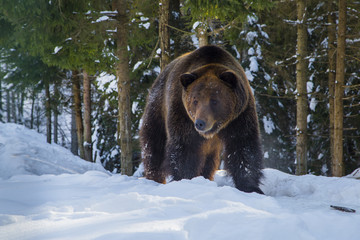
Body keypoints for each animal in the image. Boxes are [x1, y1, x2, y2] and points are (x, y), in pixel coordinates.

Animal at [139, 45, 262, 193]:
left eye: (214, 100)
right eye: (195, 100)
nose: (200, 123)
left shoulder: (239, 116)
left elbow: (243, 145)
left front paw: (250, 187)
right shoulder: (181, 112)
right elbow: (185, 147)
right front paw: (185, 179)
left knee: (209, 160)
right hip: (158, 109)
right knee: (154, 144)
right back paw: (154, 178)